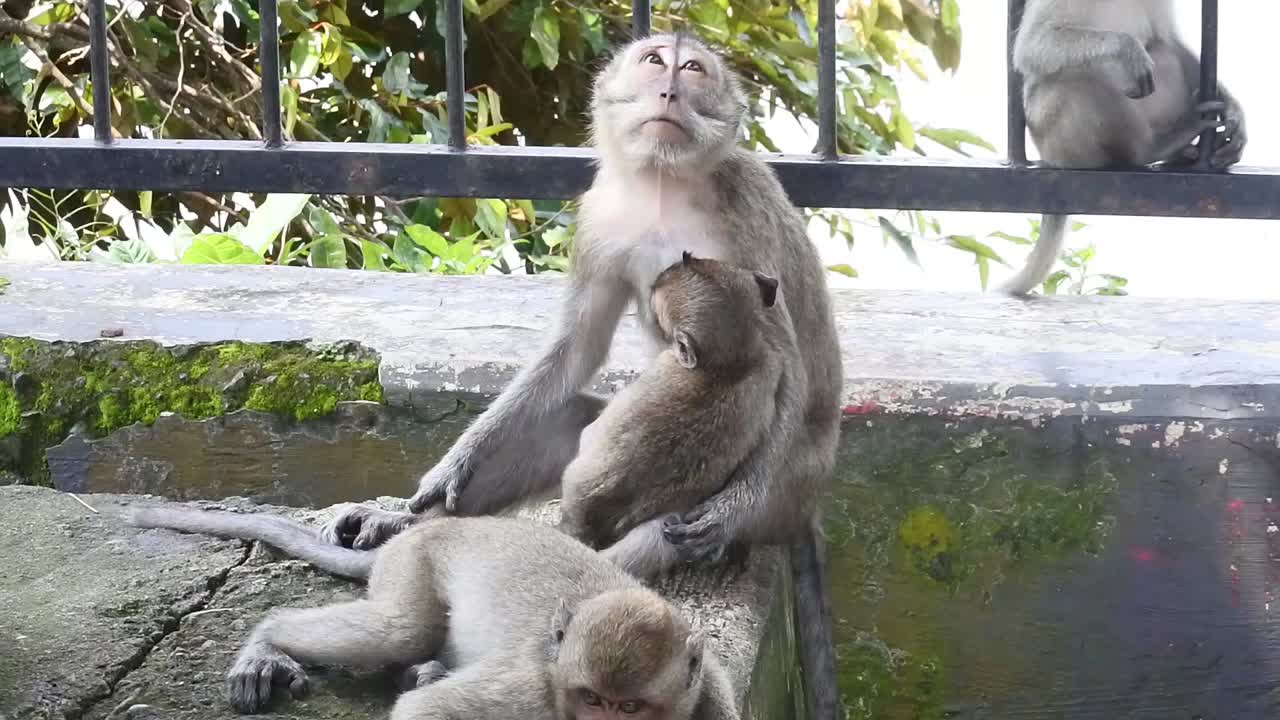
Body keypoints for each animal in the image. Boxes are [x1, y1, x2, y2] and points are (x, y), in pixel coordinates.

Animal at [127, 506, 741, 719]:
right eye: (591, 699)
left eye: (630, 707)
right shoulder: (531, 696)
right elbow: (430, 712)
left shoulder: (713, 699)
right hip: (412, 564)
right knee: (399, 630)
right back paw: (267, 644)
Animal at [1001, 0, 1247, 296]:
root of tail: (1050, 158)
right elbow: (1033, 44)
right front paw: (1126, 47)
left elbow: (1170, 41)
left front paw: (1232, 109)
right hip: (1055, 134)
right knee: (1078, 78)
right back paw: (1153, 149)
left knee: (1162, 53)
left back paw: (1180, 154)